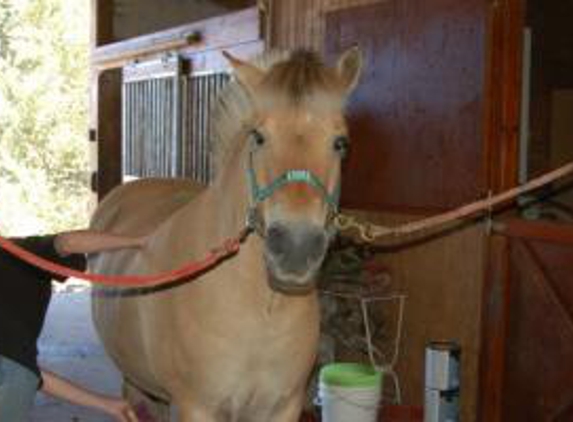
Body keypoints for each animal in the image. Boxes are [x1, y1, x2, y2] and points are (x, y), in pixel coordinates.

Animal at [91, 47, 364, 420]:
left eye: (341, 143)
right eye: (258, 137)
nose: (295, 247)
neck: (262, 309)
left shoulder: (283, 406)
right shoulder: (198, 407)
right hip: (136, 383)